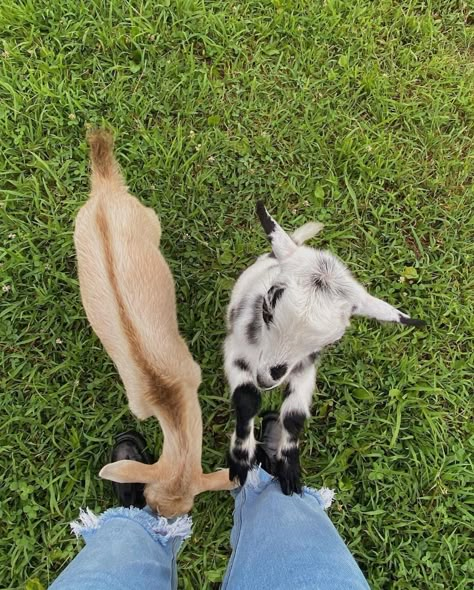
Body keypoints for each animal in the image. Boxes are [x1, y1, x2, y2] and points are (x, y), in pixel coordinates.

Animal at [224, 204, 424, 494]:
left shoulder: (305, 365)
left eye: (328, 341)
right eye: (267, 308)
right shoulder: (237, 348)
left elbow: (294, 415)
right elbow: (247, 399)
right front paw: (241, 461)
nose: (266, 379)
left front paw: (289, 467)